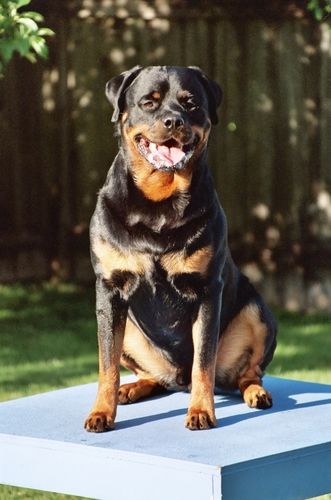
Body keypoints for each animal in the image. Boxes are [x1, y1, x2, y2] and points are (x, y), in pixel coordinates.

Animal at [83, 65, 278, 434]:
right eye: (149, 102)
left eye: (191, 103)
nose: (174, 120)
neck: (159, 202)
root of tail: (177, 378)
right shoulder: (110, 289)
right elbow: (106, 364)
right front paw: (101, 411)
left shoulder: (207, 291)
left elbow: (204, 362)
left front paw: (201, 411)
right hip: (128, 330)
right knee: (149, 374)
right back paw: (132, 388)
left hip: (257, 313)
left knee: (247, 372)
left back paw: (256, 393)